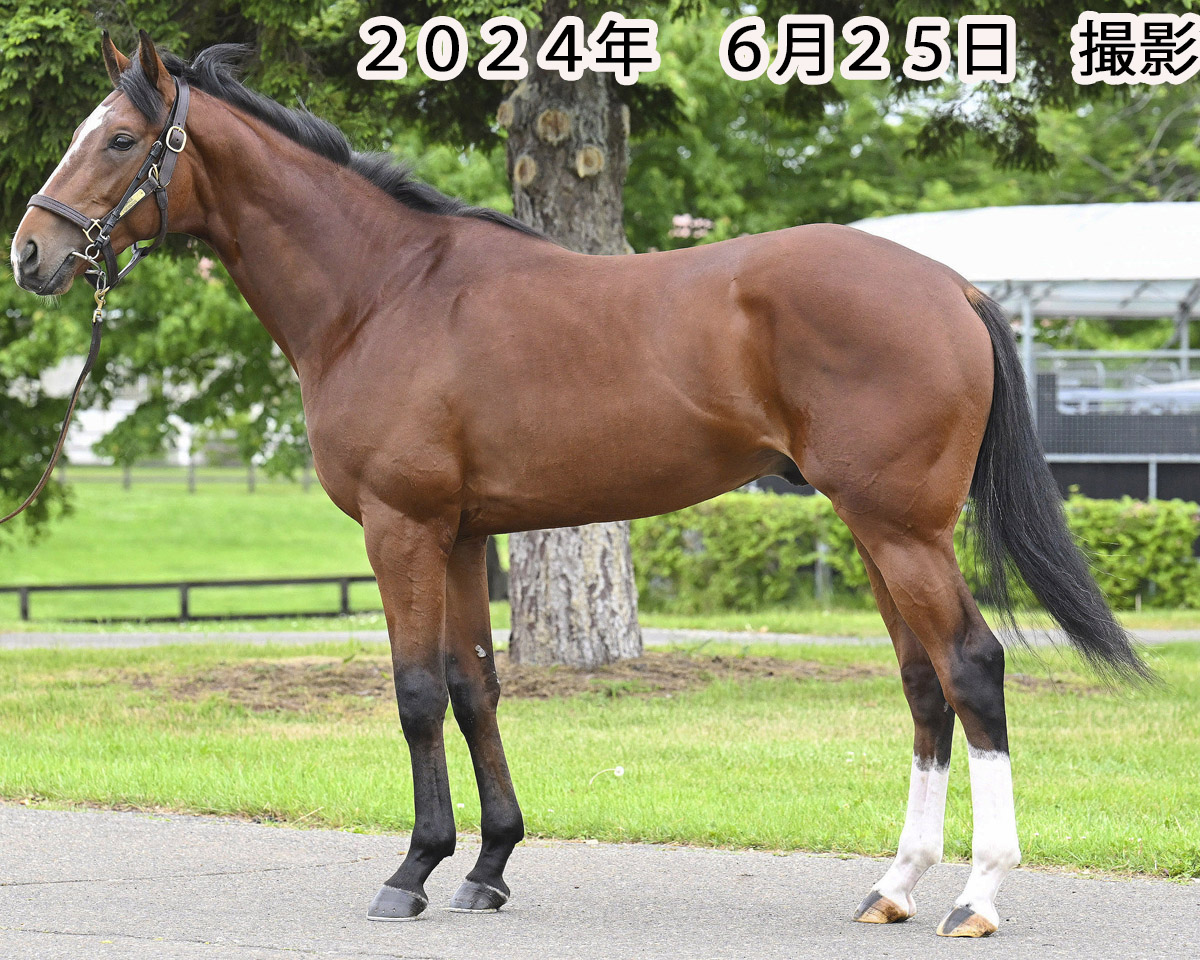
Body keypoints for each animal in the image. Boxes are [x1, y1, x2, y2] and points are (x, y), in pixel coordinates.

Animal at [10, 32, 1147, 938]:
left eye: (120, 141)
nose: (31, 252)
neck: (382, 293)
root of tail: (949, 285)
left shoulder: (400, 527)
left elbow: (416, 692)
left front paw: (410, 871)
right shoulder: (464, 534)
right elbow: (474, 686)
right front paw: (487, 866)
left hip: (902, 529)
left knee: (973, 670)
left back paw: (978, 896)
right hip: (876, 532)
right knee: (923, 684)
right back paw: (894, 886)